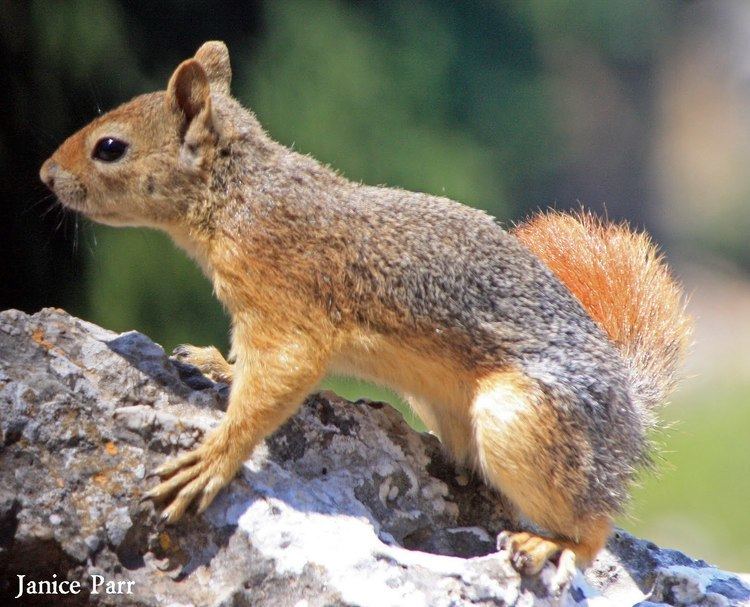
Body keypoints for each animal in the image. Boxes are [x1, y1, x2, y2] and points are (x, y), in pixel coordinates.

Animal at [38, 41, 692, 576]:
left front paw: (212, 460)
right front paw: (216, 364)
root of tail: (628, 416)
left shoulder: (286, 301)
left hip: (524, 422)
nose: (45, 174)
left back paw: (553, 544)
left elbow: (277, 380)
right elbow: (249, 370)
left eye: (110, 147)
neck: (239, 194)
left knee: (594, 521)